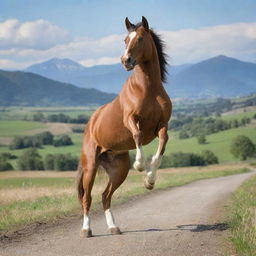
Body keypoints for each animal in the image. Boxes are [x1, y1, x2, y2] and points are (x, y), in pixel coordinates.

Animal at [76, 17, 172, 238]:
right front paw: (139, 165)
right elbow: (137, 135)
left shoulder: (162, 125)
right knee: (87, 198)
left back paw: (113, 227)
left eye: (141, 38)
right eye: (125, 39)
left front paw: (149, 180)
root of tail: (90, 124)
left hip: (118, 170)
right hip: (90, 167)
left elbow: (163, 143)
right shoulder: (131, 119)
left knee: (105, 196)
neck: (148, 89)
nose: (125, 60)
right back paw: (86, 230)